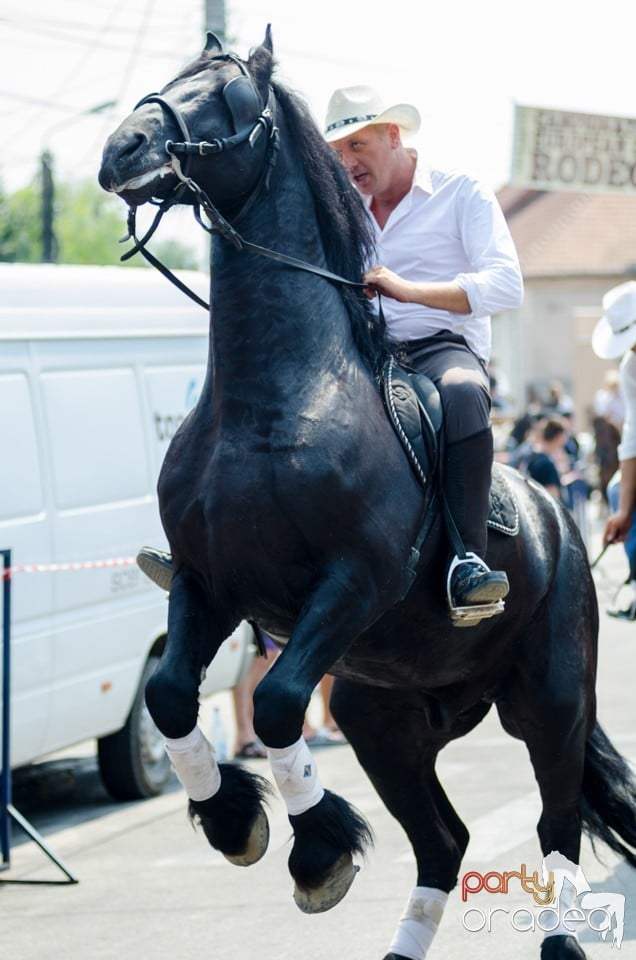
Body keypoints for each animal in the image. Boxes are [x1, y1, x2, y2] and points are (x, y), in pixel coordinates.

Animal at [97, 28, 632, 960]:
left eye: (227, 97)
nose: (122, 150)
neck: (270, 404)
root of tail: (560, 518)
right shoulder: (207, 586)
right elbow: (168, 696)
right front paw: (233, 819)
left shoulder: (352, 583)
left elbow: (276, 704)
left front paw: (315, 852)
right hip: (384, 719)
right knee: (445, 840)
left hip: (551, 703)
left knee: (557, 825)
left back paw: (561, 940)